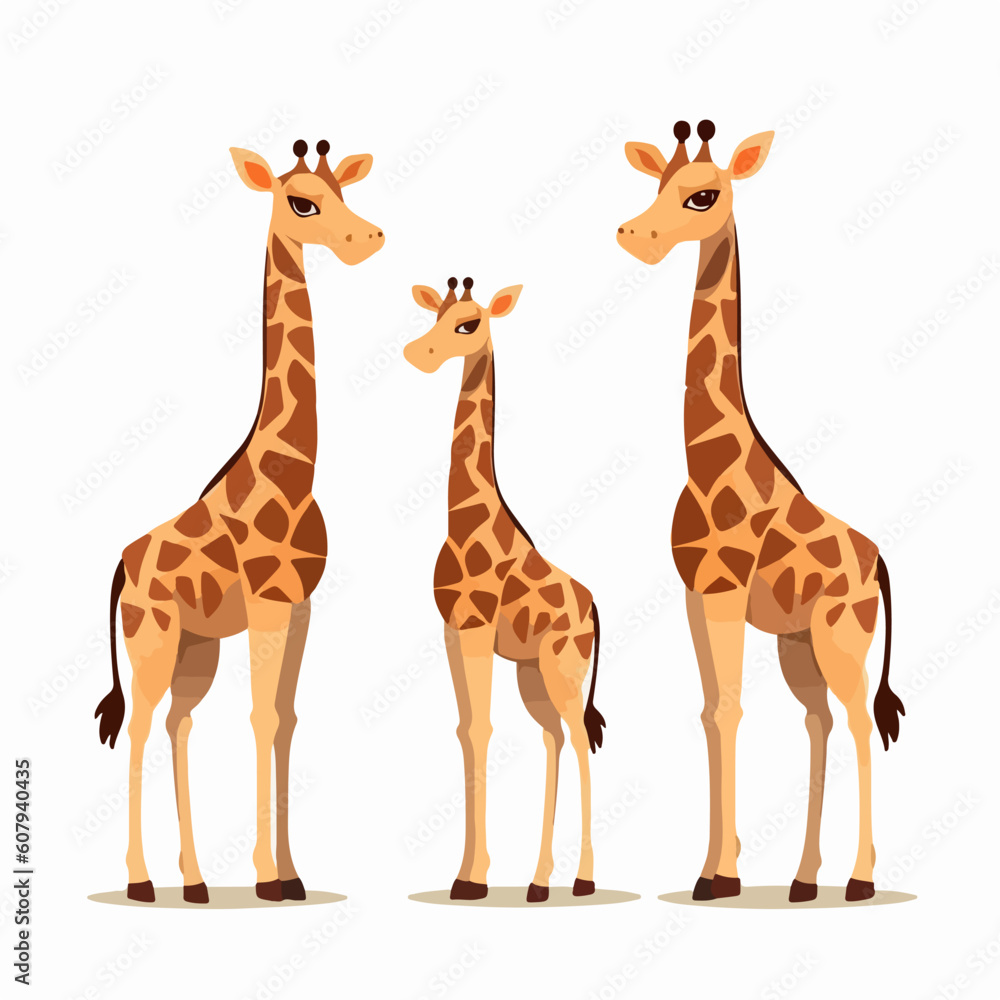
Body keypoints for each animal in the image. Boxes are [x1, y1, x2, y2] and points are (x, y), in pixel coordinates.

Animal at [94, 139, 384, 904]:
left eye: (345, 190)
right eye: (303, 202)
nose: (368, 238)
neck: (294, 471)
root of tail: (122, 567)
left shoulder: (300, 606)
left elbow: (286, 721)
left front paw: (292, 873)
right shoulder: (266, 603)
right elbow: (262, 716)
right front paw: (265, 879)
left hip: (196, 646)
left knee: (179, 722)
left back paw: (194, 882)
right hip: (153, 638)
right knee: (141, 725)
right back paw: (141, 882)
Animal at [403, 277, 606, 903]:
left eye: (469, 324)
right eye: (436, 315)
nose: (417, 354)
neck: (463, 521)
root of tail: (593, 607)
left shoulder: (476, 626)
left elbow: (482, 729)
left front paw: (473, 878)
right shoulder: (452, 629)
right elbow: (466, 730)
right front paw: (468, 874)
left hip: (563, 669)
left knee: (577, 740)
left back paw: (584, 879)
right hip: (532, 673)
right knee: (553, 740)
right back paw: (539, 881)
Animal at [616, 121, 905, 903]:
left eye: (704, 195)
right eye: (659, 184)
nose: (634, 234)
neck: (705, 461)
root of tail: (878, 563)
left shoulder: (724, 589)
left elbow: (730, 710)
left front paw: (720, 874)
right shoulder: (696, 593)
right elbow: (712, 710)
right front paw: (716, 867)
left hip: (841, 635)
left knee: (858, 720)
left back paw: (860, 879)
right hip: (798, 642)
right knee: (819, 721)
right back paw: (805, 880)